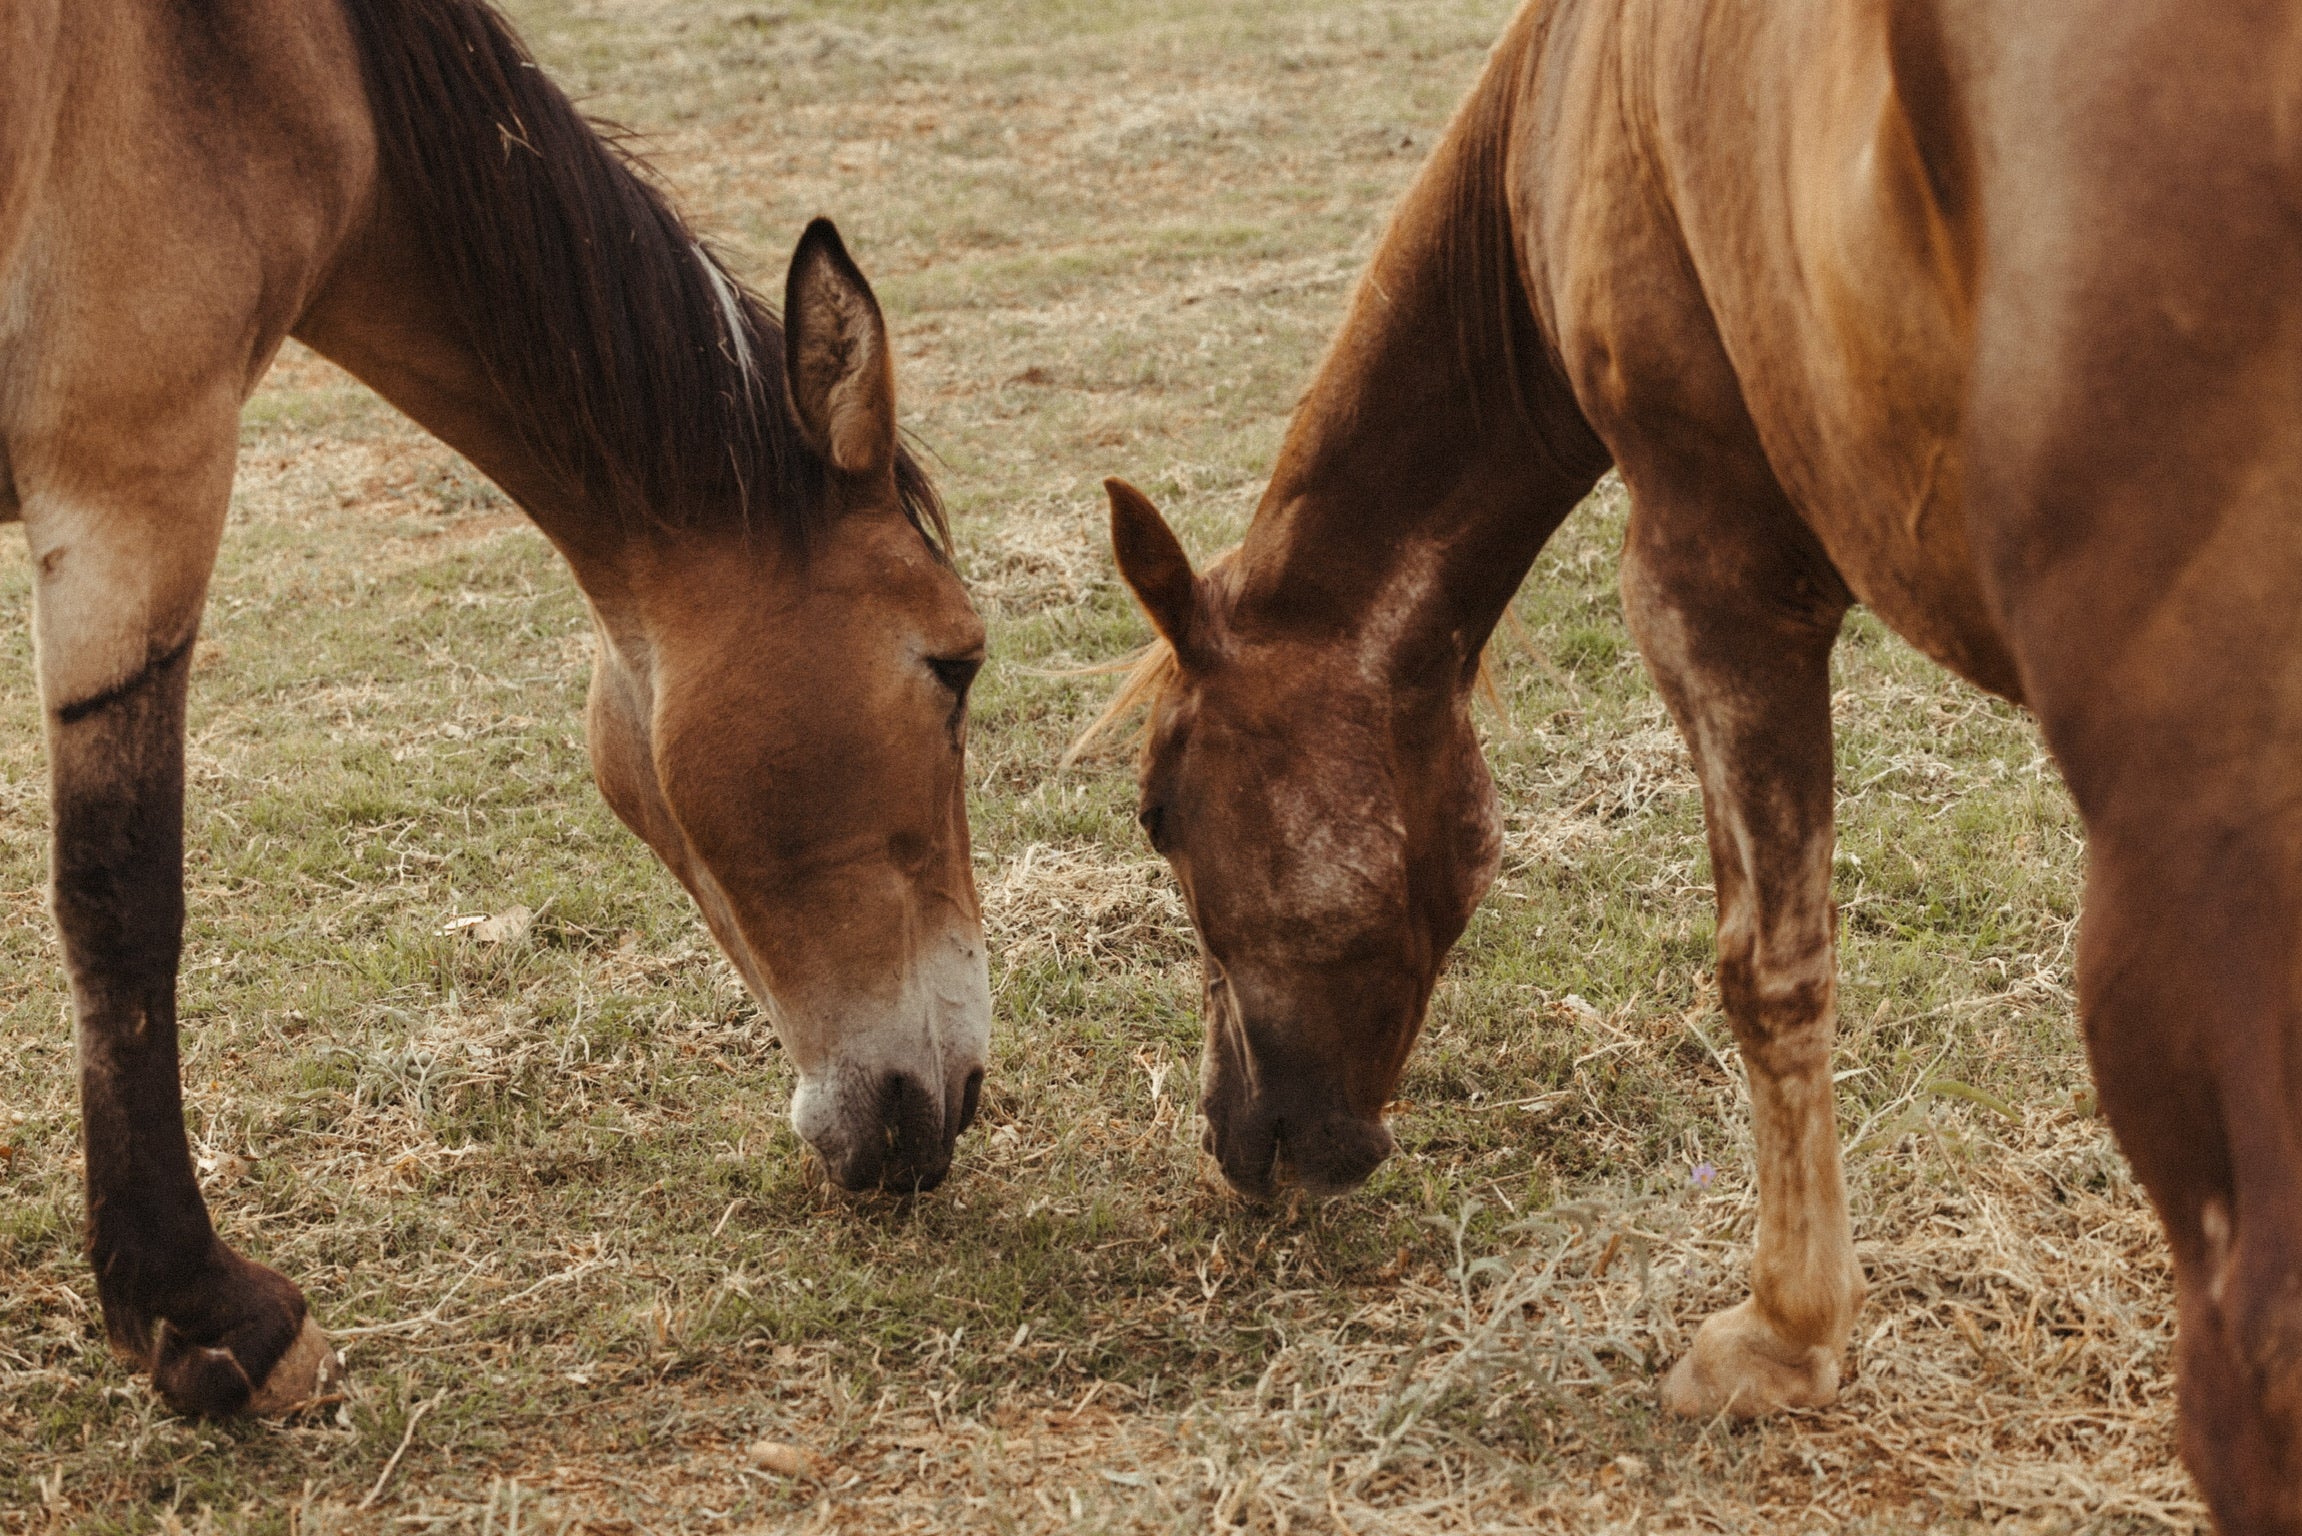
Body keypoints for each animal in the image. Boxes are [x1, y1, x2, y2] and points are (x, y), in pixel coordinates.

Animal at [0, 0, 990, 1419]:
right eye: (956, 665)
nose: (959, 1096)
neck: (252, 63)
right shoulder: (135, 479)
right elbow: (121, 900)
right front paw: (199, 1312)